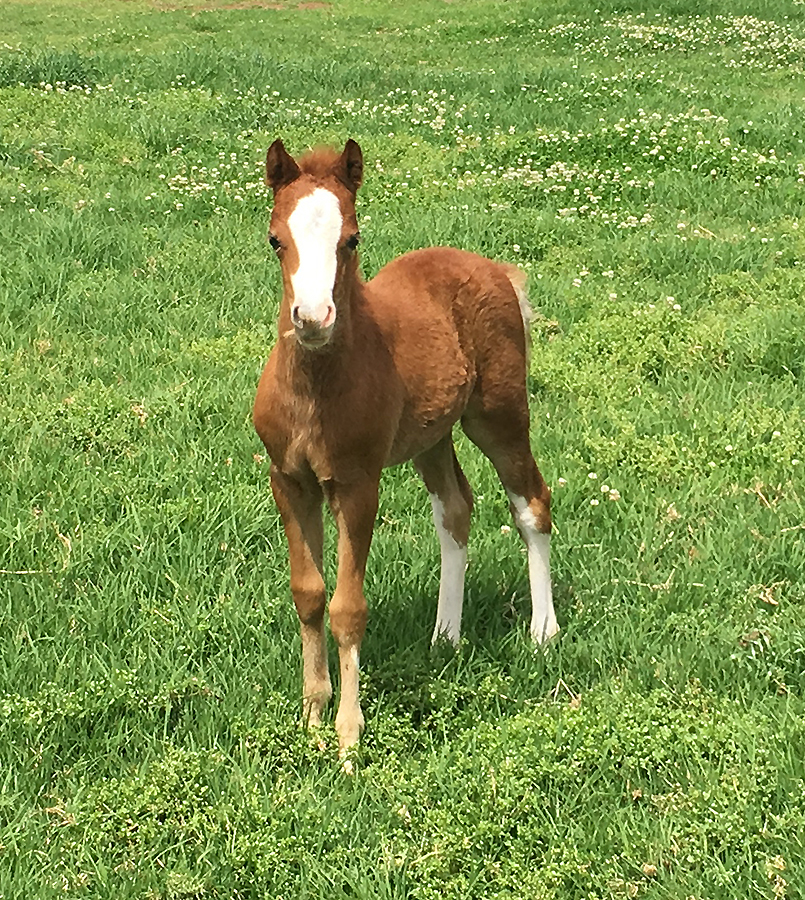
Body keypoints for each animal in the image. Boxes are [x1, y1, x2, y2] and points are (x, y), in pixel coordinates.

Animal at [253, 139, 558, 753]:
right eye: (275, 238)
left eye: (351, 238)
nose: (313, 318)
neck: (314, 390)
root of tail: (494, 268)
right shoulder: (289, 481)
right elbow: (308, 594)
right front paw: (313, 717)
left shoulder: (357, 484)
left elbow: (347, 607)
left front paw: (348, 739)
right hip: (431, 438)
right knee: (456, 510)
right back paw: (445, 636)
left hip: (498, 416)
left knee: (532, 503)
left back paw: (543, 631)